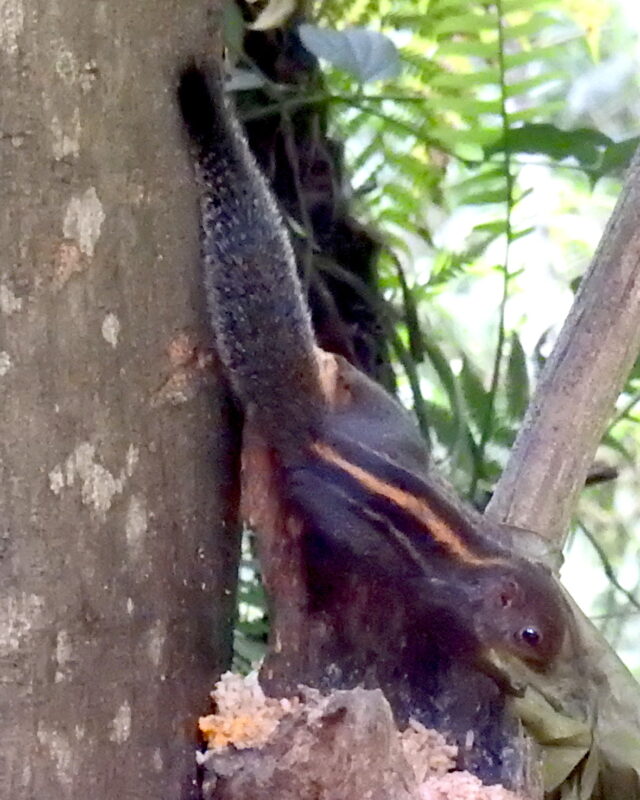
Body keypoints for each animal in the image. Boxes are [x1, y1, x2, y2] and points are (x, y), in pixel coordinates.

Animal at [177, 64, 570, 683]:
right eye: (529, 634)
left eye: (564, 626)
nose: (548, 671)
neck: (478, 560)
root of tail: (317, 427)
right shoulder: (436, 597)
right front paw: (496, 671)